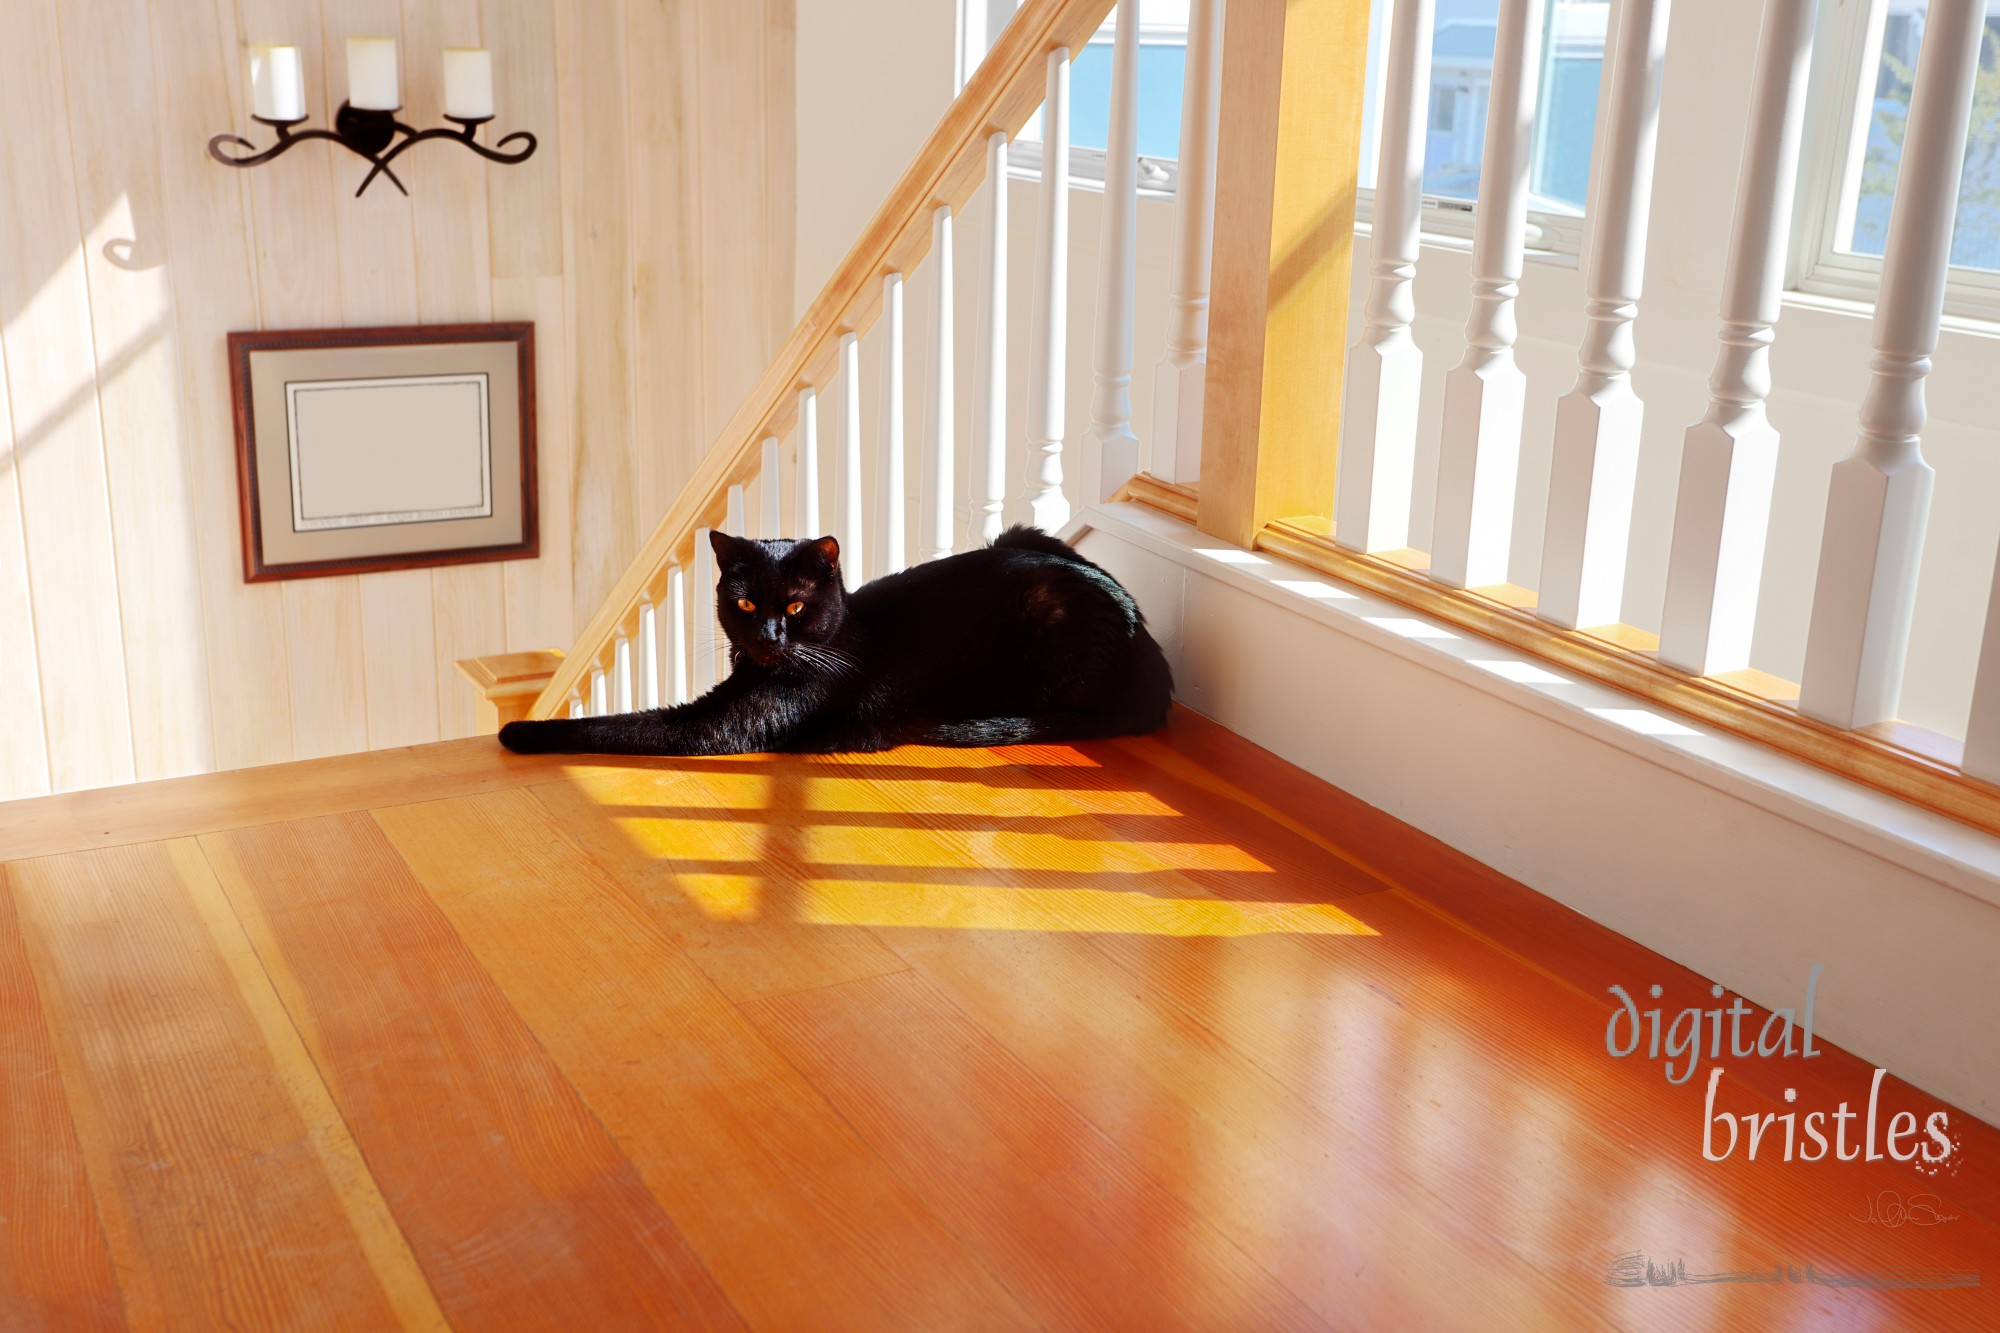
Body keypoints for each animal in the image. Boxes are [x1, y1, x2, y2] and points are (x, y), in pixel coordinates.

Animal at [500, 524, 1176, 752]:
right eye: (745, 603)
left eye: (795, 606)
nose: (769, 636)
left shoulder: (714, 726)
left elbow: (618, 725)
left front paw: (518, 733)